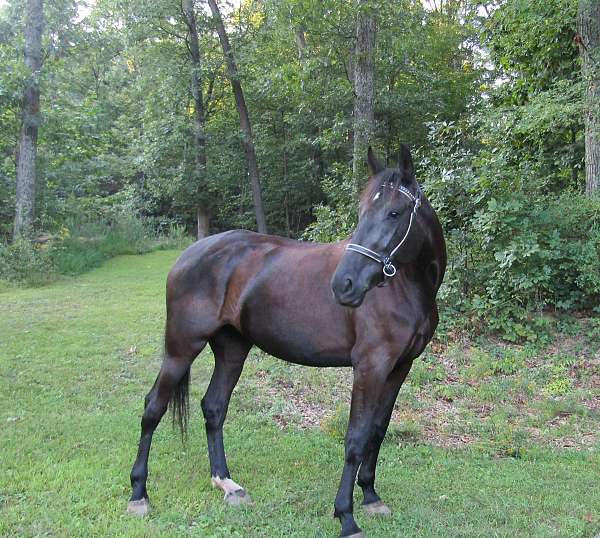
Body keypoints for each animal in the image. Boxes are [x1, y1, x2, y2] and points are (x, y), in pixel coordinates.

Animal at [127, 144, 446, 532]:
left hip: (232, 350)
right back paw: (139, 493)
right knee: (153, 408)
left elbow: (377, 430)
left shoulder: (399, 368)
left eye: (394, 212)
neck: (405, 287)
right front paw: (346, 516)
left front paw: (371, 496)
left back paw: (226, 483)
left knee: (214, 407)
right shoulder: (370, 366)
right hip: (180, 348)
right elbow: (356, 437)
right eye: (362, 212)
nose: (344, 285)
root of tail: (189, 254)